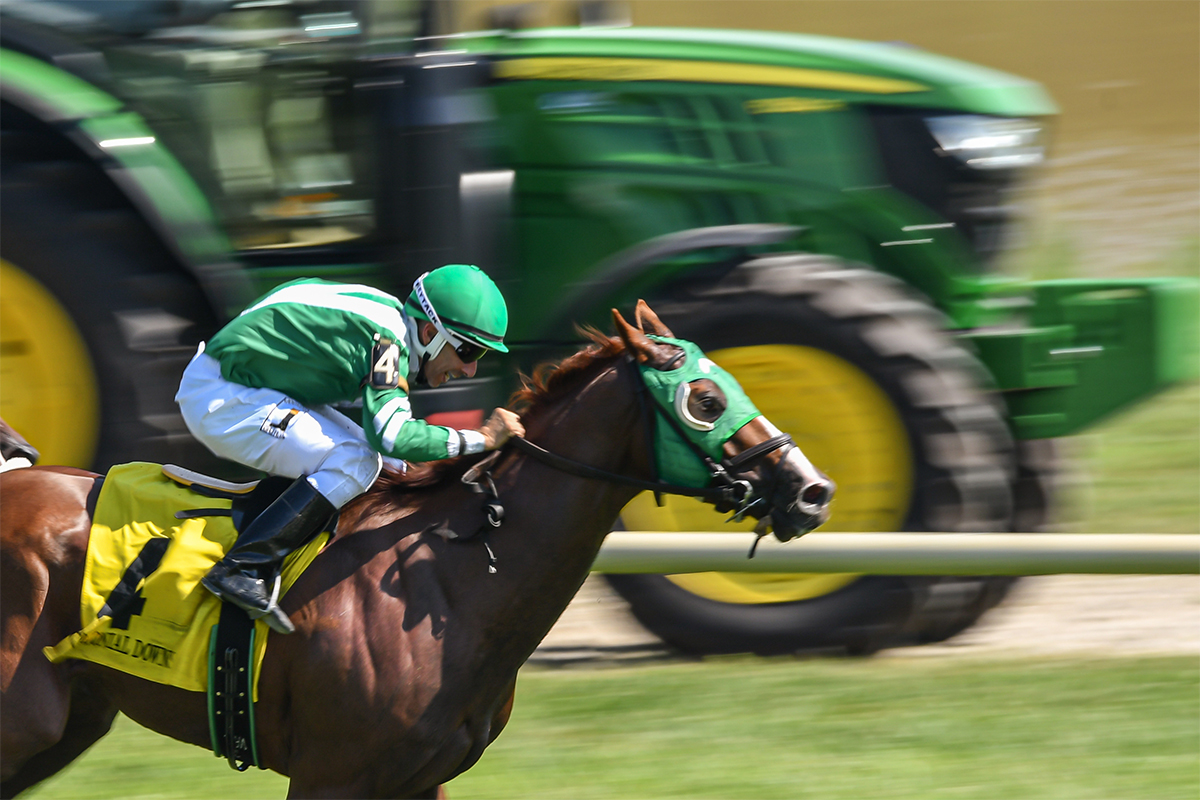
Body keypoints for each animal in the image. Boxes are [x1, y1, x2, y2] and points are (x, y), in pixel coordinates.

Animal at [0, 302, 835, 800]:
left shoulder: (419, 779)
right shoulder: (331, 775)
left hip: (69, 721)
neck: (452, 582)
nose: (811, 490)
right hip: (26, 719)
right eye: (705, 400)